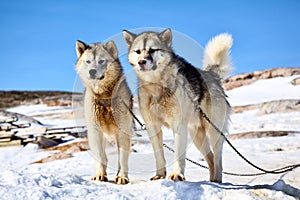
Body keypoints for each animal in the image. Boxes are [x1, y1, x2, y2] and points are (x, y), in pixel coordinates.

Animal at [75, 39, 132, 184]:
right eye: (88, 61)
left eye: (101, 61)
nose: (92, 71)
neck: (104, 97)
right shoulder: (95, 130)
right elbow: (100, 157)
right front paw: (100, 175)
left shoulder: (122, 130)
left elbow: (122, 159)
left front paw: (122, 177)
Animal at [122, 28, 232, 183]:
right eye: (137, 51)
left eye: (152, 50)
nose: (141, 62)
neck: (157, 86)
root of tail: (212, 75)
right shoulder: (153, 126)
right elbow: (159, 155)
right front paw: (159, 175)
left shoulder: (179, 125)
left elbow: (179, 155)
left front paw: (177, 175)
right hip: (197, 137)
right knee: (210, 158)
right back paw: (211, 181)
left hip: (214, 131)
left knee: (217, 160)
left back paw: (217, 180)